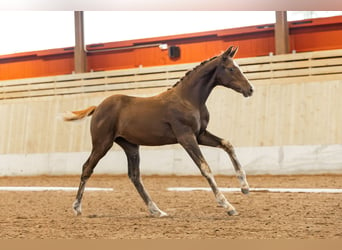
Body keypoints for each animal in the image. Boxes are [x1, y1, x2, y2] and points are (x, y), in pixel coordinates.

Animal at [64, 46, 254, 216]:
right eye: (231, 68)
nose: (250, 89)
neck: (188, 99)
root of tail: (97, 108)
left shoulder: (200, 135)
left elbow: (227, 144)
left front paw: (245, 187)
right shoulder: (186, 137)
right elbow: (204, 167)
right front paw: (227, 205)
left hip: (131, 146)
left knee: (135, 176)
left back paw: (156, 210)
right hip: (102, 143)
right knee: (87, 168)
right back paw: (77, 207)